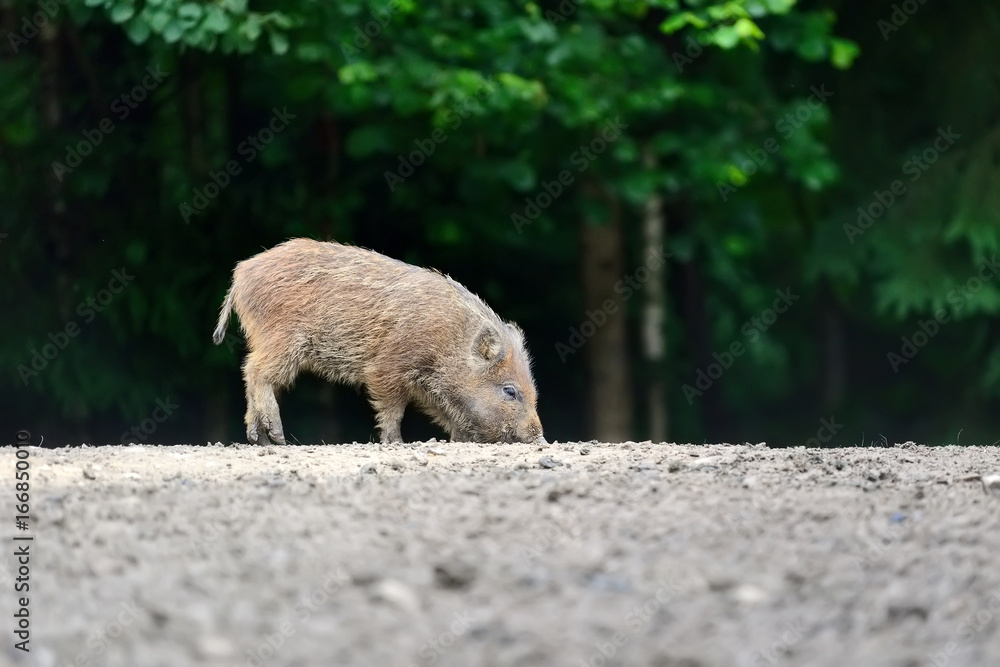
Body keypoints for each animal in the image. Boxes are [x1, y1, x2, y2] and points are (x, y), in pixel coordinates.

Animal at [213, 238, 545, 446]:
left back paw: (260, 439)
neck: (448, 341)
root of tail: (240, 274)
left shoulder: (427, 387)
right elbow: (392, 409)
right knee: (255, 371)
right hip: (282, 339)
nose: (540, 436)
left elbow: (446, 413)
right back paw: (278, 437)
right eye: (510, 391)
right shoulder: (387, 368)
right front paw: (397, 442)